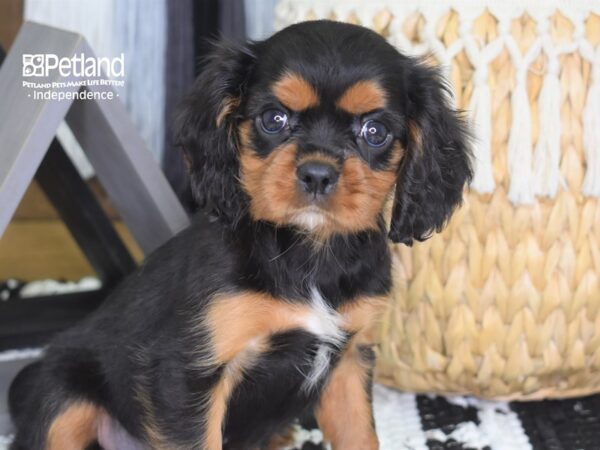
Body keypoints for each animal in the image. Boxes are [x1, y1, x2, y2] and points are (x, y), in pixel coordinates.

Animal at [7, 19, 472, 448]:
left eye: (375, 131)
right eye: (273, 119)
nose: (317, 174)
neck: (306, 253)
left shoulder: (350, 362)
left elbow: (359, 436)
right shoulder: (188, 376)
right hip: (62, 398)